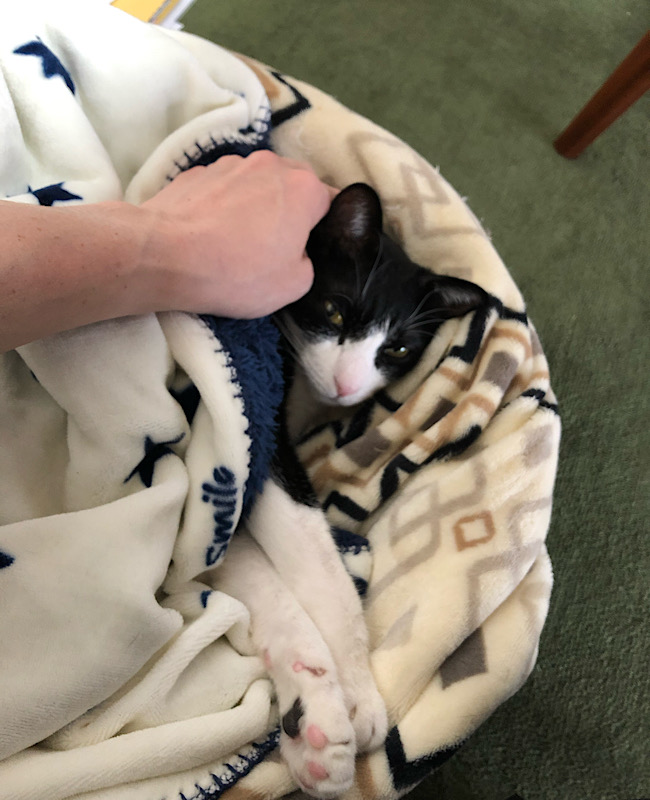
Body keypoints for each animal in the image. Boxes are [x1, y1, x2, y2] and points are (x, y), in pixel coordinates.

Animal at [212, 183, 488, 798]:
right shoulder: (252, 433)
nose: (346, 385)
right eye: (336, 310)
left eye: (399, 350)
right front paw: (357, 695)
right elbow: (322, 567)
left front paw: (312, 712)